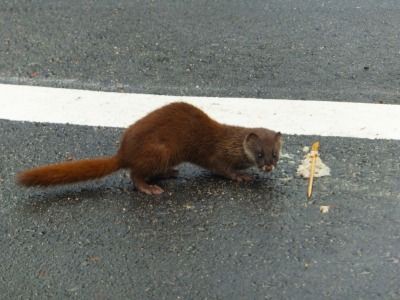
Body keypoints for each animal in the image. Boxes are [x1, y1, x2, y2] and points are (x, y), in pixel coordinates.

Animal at [17, 102, 282, 196]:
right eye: (259, 153)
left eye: (275, 154)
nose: (268, 166)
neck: (230, 140)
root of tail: (123, 152)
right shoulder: (216, 155)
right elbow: (222, 168)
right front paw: (242, 176)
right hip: (159, 150)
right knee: (134, 175)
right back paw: (150, 188)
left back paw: (170, 173)